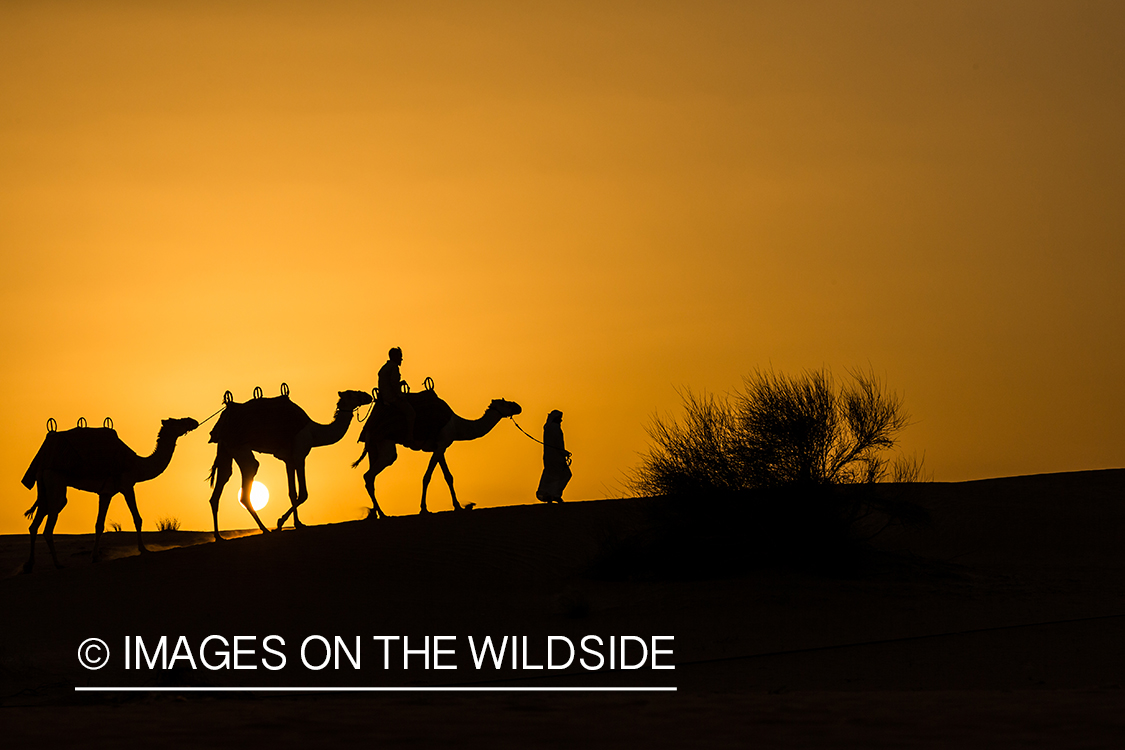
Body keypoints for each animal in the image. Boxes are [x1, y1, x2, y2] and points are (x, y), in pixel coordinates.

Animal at [20, 416, 200, 575]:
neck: (137, 464)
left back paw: (29, 565)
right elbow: (137, 518)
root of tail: (43, 461)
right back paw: (58, 564)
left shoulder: (106, 492)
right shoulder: (127, 485)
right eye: (177, 421)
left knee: (35, 523)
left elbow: (99, 524)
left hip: (44, 485)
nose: (193, 421)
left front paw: (94, 557)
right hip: (55, 481)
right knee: (50, 523)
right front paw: (143, 549)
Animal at [207, 386, 373, 539]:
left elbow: (292, 493)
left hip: (226, 450)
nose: (368, 396)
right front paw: (280, 522)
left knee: (221, 482)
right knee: (248, 479)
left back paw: (218, 536)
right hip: (240, 448)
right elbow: (304, 494)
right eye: (353, 393)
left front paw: (297, 523)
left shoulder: (289, 460)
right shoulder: (300, 455)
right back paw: (265, 529)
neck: (314, 433)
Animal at [353, 393, 519, 517]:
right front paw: (423, 509)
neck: (457, 425)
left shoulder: (440, 447)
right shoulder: (442, 443)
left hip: (373, 446)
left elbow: (448, 476)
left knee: (370, 477)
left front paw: (458, 506)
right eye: (506, 403)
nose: (518, 407)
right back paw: (382, 513)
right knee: (374, 471)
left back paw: (378, 513)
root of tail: (369, 425)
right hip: (385, 440)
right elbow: (427, 477)